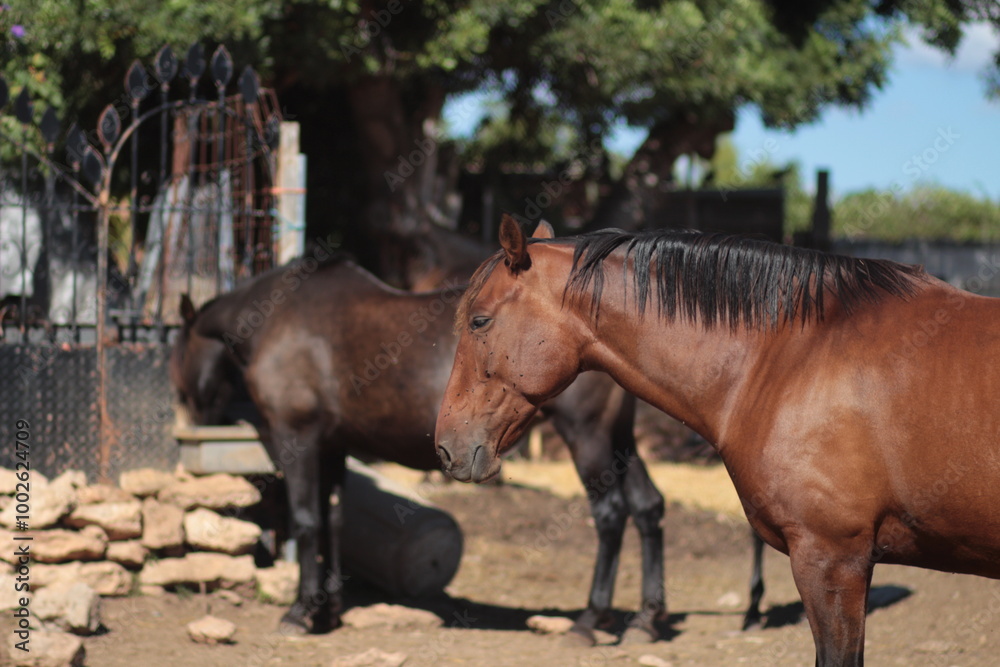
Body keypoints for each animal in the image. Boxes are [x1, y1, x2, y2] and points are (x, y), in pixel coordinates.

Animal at [171, 247, 679, 643]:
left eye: (178, 371)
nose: (195, 421)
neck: (277, 319)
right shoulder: (333, 445)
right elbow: (334, 520)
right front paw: (328, 610)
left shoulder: (297, 439)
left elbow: (307, 521)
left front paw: (299, 613)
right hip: (618, 441)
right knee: (647, 506)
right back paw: (646, 619)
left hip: (587, 435)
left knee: (610, 515)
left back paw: (590, 619)